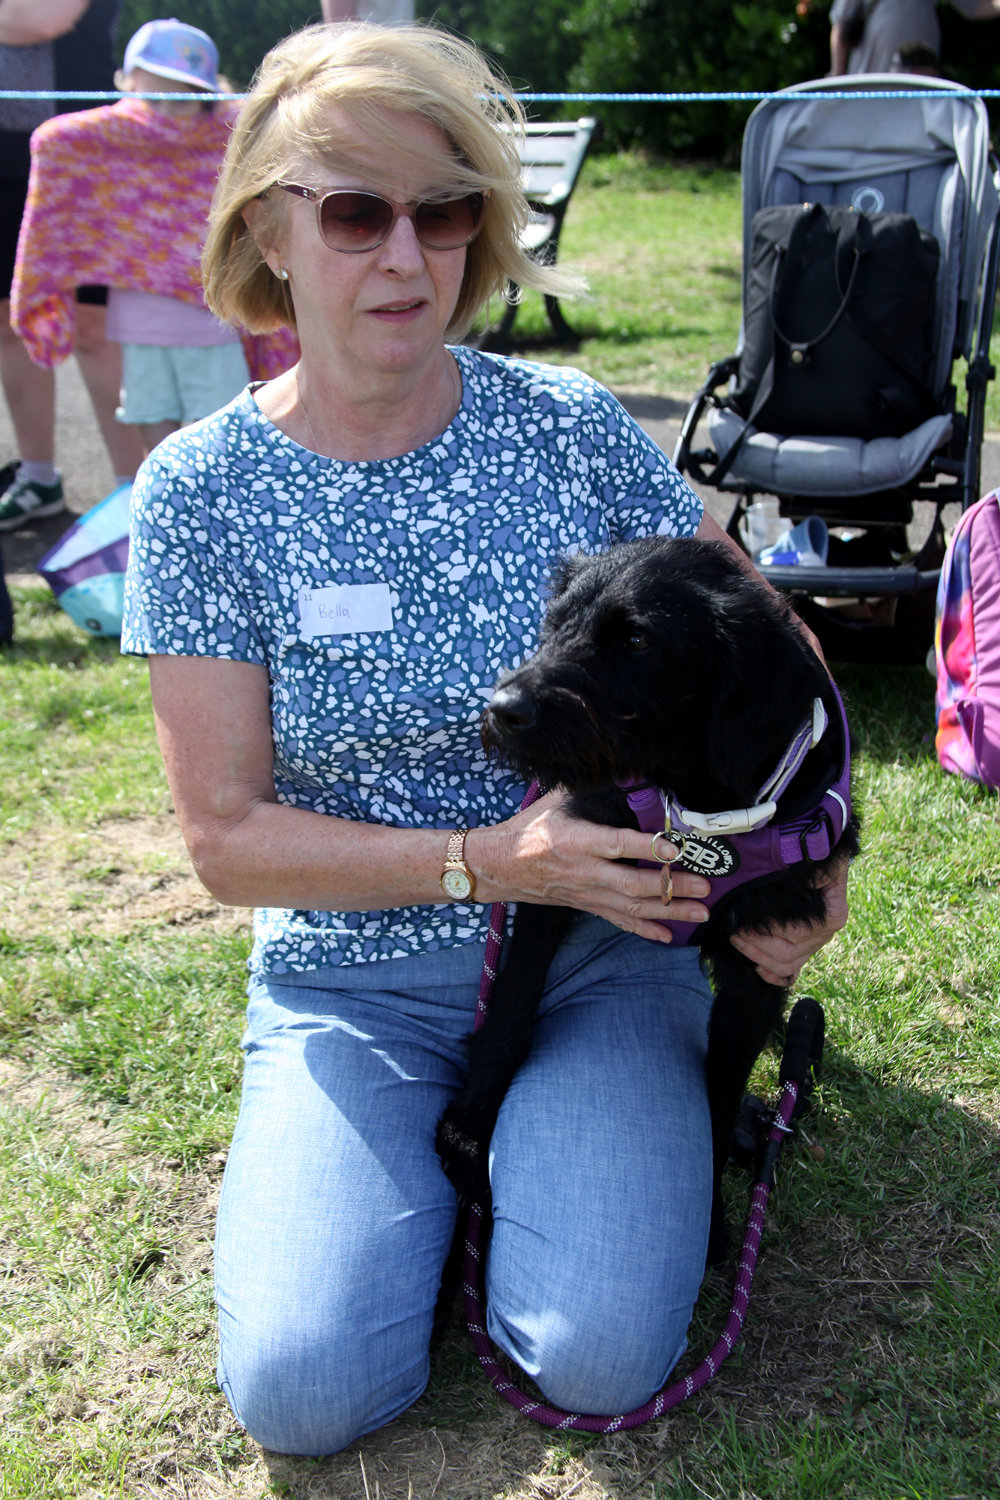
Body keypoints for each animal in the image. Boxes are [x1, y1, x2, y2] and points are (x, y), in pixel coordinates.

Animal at [436, 536, 859, 1262]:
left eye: (637, 640)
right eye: (555, 623)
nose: (502, 709)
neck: (696, 809)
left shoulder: (759, 963)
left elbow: (719, 1092)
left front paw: (712, 1219)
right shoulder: (556, 881)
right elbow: (511, 1006)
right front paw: (469, 1134)